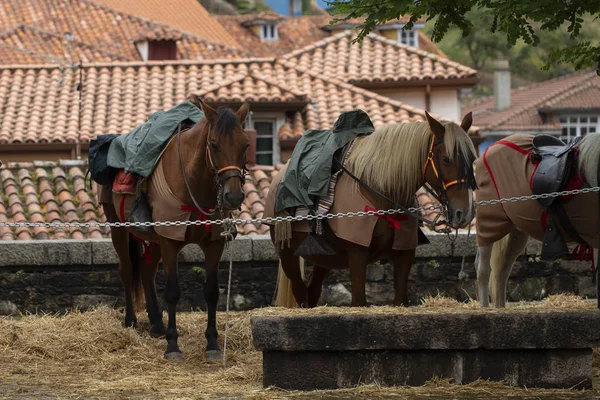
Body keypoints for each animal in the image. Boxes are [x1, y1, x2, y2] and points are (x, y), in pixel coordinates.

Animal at [99, 96, 250, 360]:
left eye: (245, 145)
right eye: (214, 144)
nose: (233, 196)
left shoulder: (213, 245)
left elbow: (212, 292)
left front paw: (212, 344)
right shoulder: (170, 241)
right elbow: (172, 292)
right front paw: (172, 345)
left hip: (154, 239)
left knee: (146, 272)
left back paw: (157, 324)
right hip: (119, 228)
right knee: (126, 270)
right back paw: (131, 321)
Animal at [268, 111, 478, 308]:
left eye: (472, 159)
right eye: (446, 159)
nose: (464, 213)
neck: (382, 191)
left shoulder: (405, 252)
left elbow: (400, 298)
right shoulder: (357, 253)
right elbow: (359, 300)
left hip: (325, 258)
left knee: (312, 289)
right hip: (287, 253)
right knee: (300, 291)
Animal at [476, 133, 596, 308]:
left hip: (516, 231)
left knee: (502, 271)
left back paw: (500, 308)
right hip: (489, 221)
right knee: (483, 269)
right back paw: (485, 307)